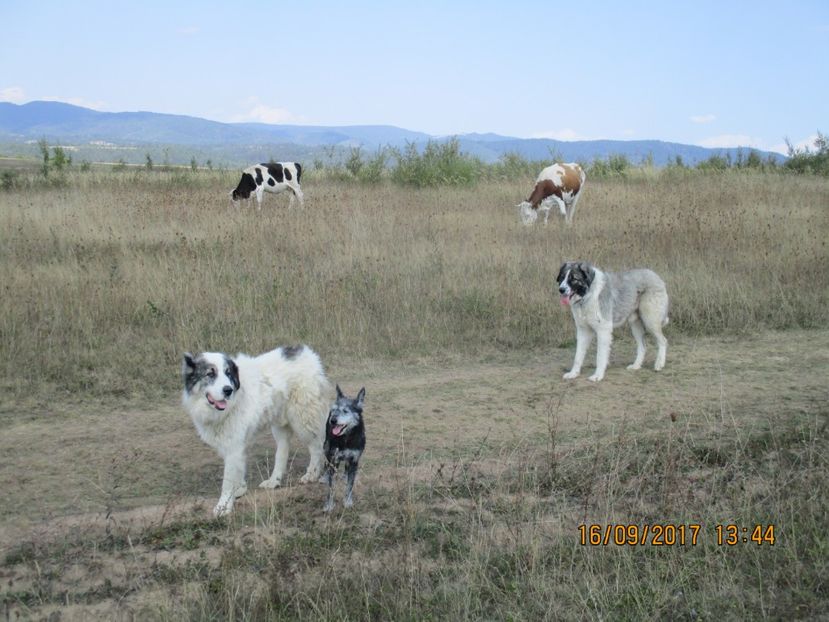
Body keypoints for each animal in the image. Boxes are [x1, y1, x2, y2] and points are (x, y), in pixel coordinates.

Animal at [182, 346, 334, 516]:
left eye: (228, 373)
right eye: (210, 374)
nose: (228, 390)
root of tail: (309, 354)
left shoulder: (234, 447)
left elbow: (227, 481)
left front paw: (223, 506)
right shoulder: (233, 446)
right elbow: (238, 471)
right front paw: (239, 489)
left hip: (304, 420)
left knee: (316, 447)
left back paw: (312, 474)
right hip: (280, 424)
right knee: (283, 450)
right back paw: (274, 481)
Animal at [322, 388, 364, 516]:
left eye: (345, 411)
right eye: (334, 410)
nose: (333, 420)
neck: (346, 439)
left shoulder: (354, 461)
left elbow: (350, 485)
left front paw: (348, 501)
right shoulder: (333, 459)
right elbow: (331, 487)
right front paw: (329, 505)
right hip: (326, 449)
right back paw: (325, 477)